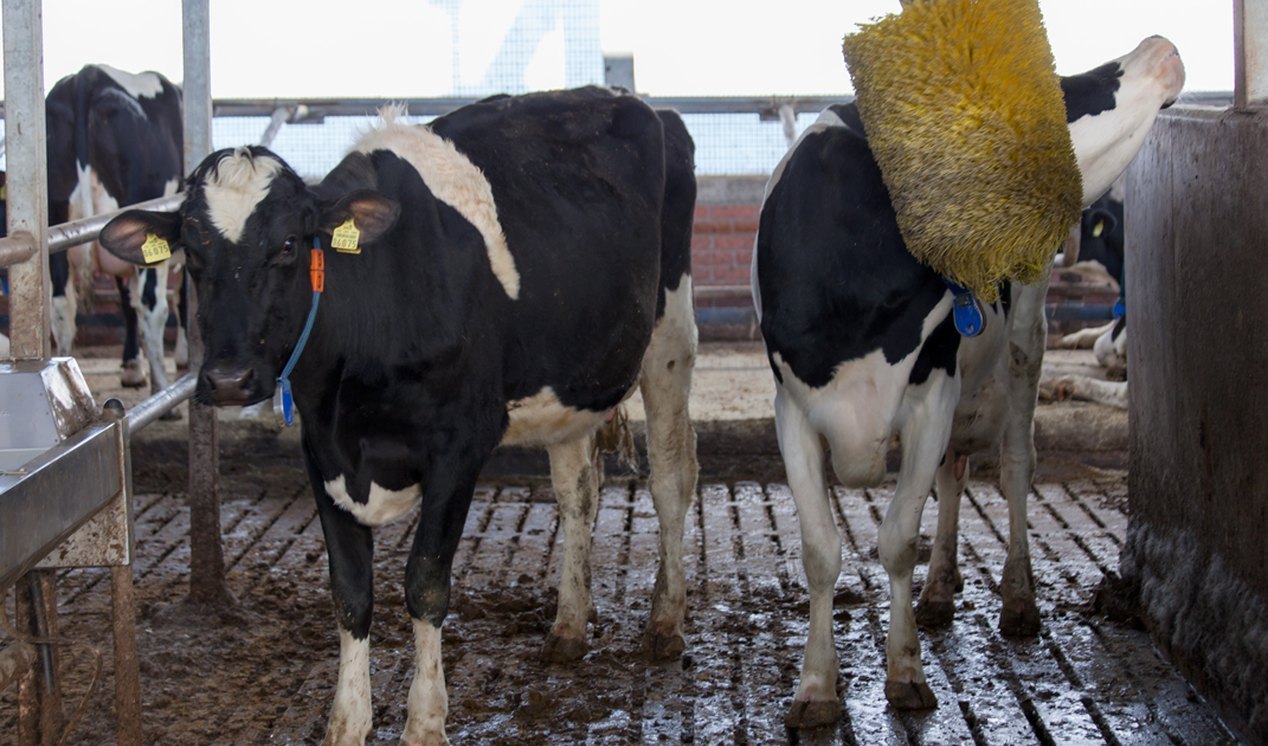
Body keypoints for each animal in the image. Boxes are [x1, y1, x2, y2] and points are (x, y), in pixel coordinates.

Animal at [105, 88, 705, 746]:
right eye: (192, 250)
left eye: (289, 245)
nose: (229, 379)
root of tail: (630, 100)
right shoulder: (321, 452)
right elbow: (350, 591)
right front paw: (347, 723)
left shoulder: (459, 445)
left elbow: (425, 582)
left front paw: (424, 721)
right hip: (568, 381)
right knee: (579, 493)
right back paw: (569, 625)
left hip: (669, 337)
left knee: (671, 477)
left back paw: (666, 621)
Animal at [750, 37, 1176, 725]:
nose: (1158, 47)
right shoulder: (792, 408)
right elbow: (820, 549)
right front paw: (815, 686)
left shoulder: (931, 397)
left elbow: (898, 540)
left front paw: (905, 672)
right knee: (954, 475)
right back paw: (941, 588)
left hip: (1026, 335)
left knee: (1016, 463)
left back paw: (1019, 598)